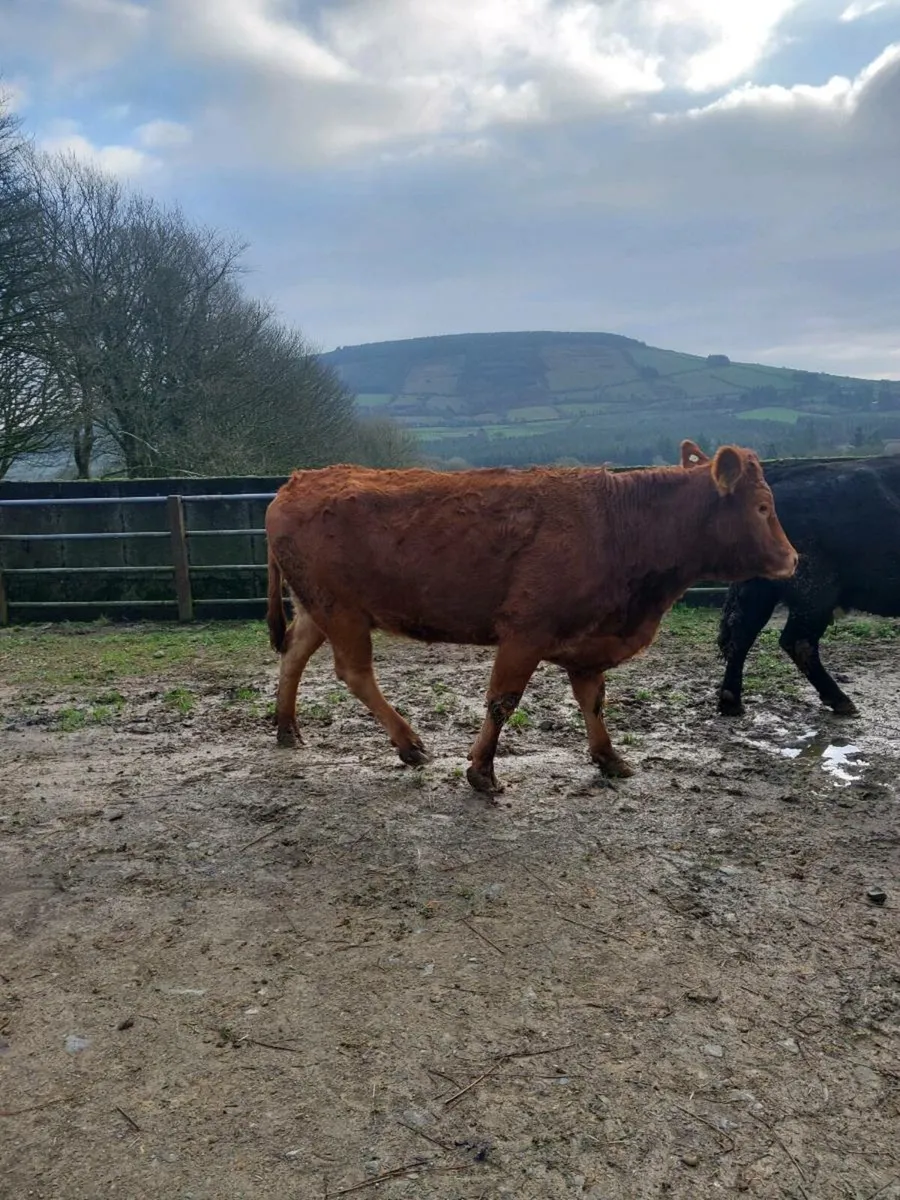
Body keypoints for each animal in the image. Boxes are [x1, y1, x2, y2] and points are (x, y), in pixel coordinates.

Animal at [265, 440, 797, 794]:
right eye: (762, 506)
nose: (793, 559)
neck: (623, 524)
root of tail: (295, 482)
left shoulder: (588, 644)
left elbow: (593, 701)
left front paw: (610, 757)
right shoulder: (524, 634)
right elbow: (502, 701)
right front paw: (482, 772)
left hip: (317, 609)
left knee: (293, 655)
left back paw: (287, 728)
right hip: (342, 611)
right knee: (354, 672)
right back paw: (409, 742)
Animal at [718, 454, 900, 717]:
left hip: (759, 590)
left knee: (741, 634)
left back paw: (730, 702)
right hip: (814, 594)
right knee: (798, 641)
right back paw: (841, 700)